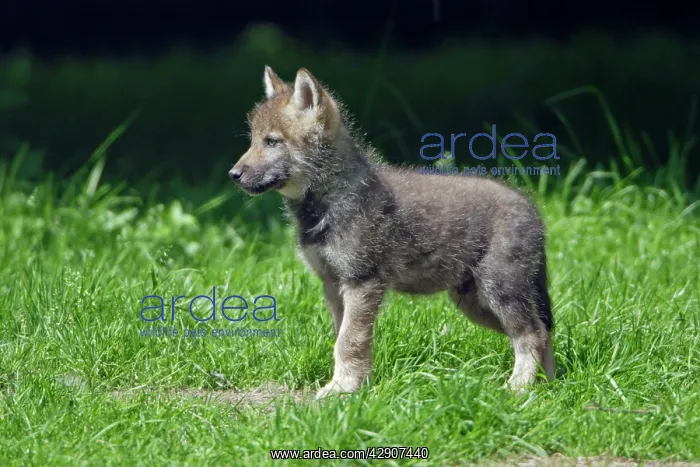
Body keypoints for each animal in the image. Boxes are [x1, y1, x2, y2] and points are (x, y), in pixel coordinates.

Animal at [229, 66, 555, 399]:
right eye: (253, 140)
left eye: (272, 142)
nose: (233, 175)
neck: (329, 200)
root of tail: (532, 210)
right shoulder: (333, 284)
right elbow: (345, 338)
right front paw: (354, 385)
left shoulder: (362, 282)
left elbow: (349, 342)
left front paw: (341, 389)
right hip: (474, 302)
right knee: (542, 332)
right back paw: (548, 387)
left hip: (499, 290)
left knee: (531, 334)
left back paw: (519, 388)